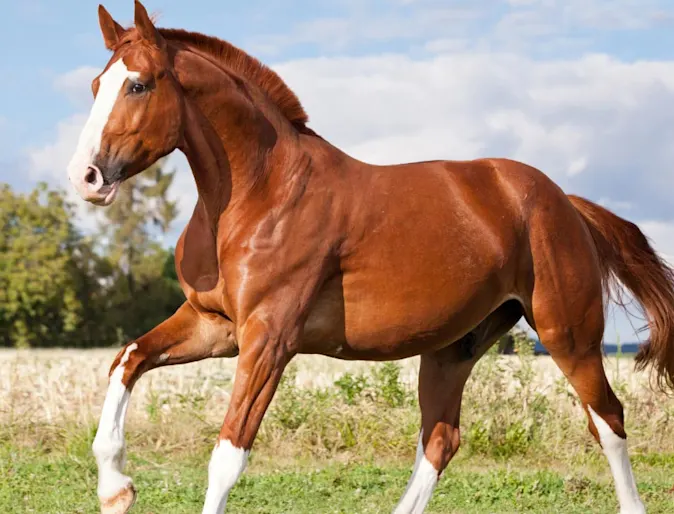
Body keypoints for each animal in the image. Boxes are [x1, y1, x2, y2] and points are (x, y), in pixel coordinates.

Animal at [67, 2, 672, 510]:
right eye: (97, 84)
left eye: (139, 84)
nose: (86, 177)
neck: (261, 194)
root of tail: (563, 202)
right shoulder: (214, 325)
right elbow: (126, 360)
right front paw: (116, 488)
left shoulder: (269, 339)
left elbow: (227, 456)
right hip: (455, 347)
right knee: (441, 439)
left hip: (568, 335)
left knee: (608, 420)